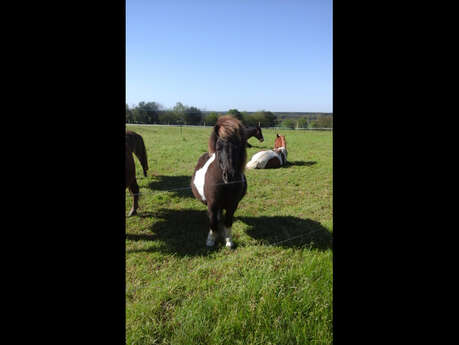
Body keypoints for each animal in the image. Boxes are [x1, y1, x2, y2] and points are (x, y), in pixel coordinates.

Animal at [190, 115, 248, 247]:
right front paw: (211, 240)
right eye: (218, 147)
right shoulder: (212, 205)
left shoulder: (232, 206)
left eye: (238, 147)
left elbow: (228, 222)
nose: (229, 175)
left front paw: (228, 241)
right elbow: (213, 223)